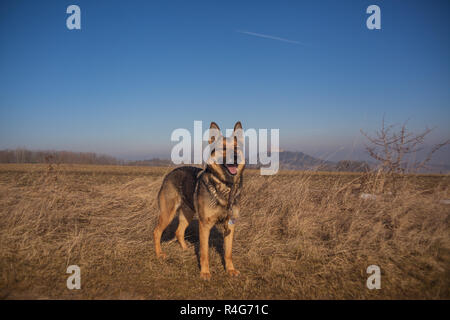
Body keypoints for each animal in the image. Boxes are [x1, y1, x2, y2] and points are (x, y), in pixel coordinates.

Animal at [155, 122, 246, 280]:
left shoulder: (230, 225)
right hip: (168, 214)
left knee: (179, 232)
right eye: (223, 148)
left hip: (188, 213)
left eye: (236, 148)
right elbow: (204, 253)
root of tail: (170, 173)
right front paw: (205, 272)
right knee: (156, 232)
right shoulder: (205, 225)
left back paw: (185, 249)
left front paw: (230, 269)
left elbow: (228, 253)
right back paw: (159, 254)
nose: (234, 157)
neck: (225, 186)